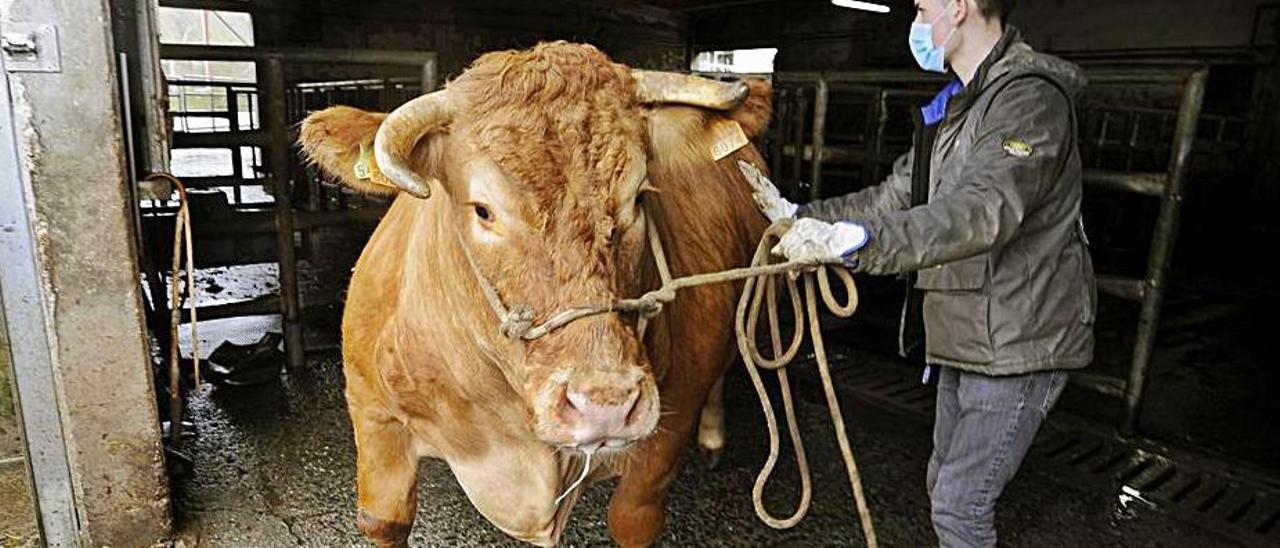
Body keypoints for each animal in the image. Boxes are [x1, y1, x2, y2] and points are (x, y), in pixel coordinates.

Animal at [302, 43, 768, 548]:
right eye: (483, 210)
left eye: (640, 197)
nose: (605, 403)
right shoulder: (374, 418)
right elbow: (383, 519)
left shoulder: (667, 431)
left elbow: (632, 516)